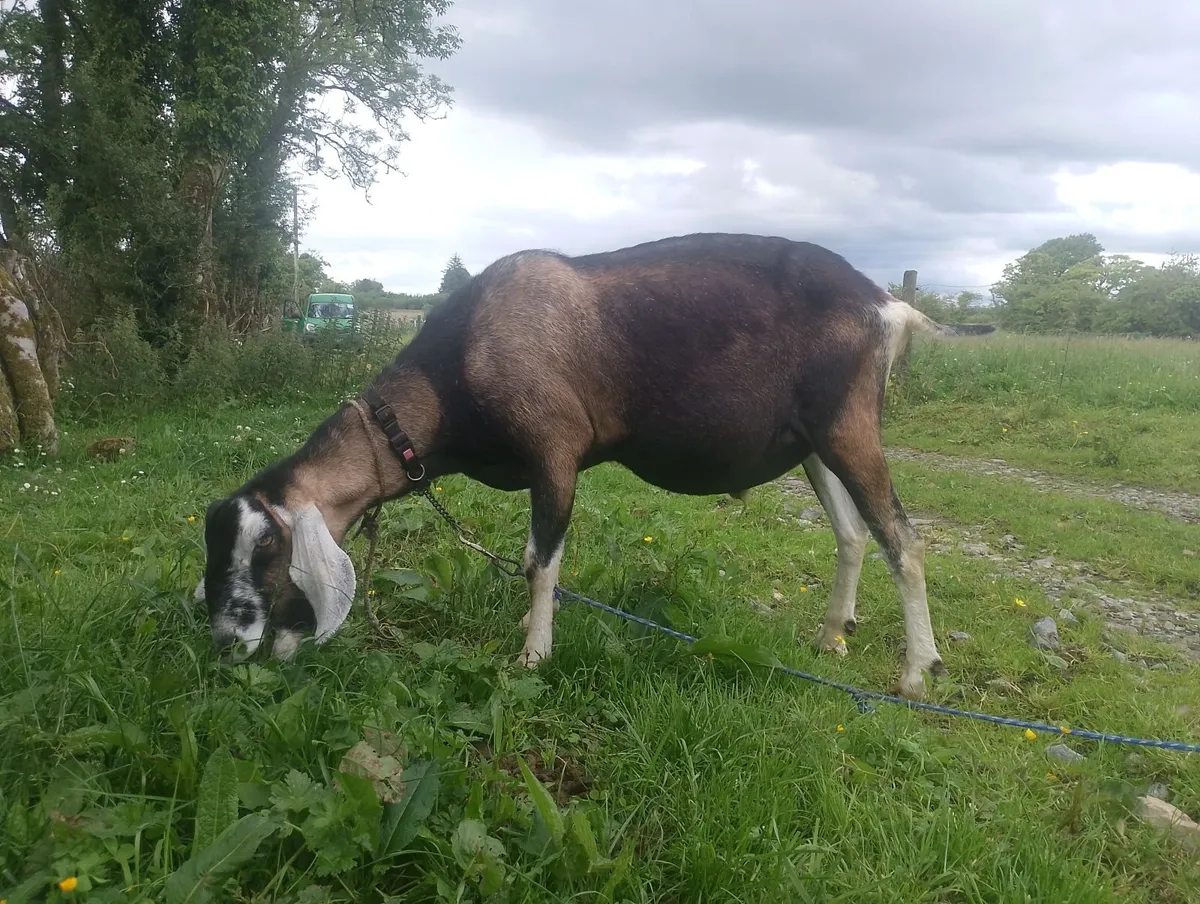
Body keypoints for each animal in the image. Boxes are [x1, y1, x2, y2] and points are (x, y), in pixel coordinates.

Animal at [196, 232, 993, 699]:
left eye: (265, 549)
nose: (227, 642)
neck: (458, 367)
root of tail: (888, 305)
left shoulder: (555, 449)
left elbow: (539, 561)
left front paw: (533, 655)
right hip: (814, 442)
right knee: (854, 535)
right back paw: (833, 635)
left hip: (848, 428)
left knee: (903, 539)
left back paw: (917, 672)